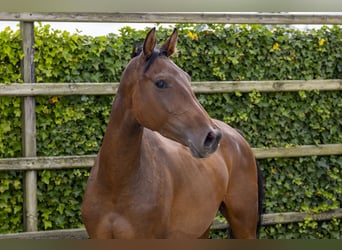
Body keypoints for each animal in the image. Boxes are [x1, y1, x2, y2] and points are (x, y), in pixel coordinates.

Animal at [81, 27, 264, 238]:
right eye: (161, 83)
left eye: (188, 78)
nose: (212, 137)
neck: (116, 183)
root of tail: (237, 136)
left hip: (244, 225)